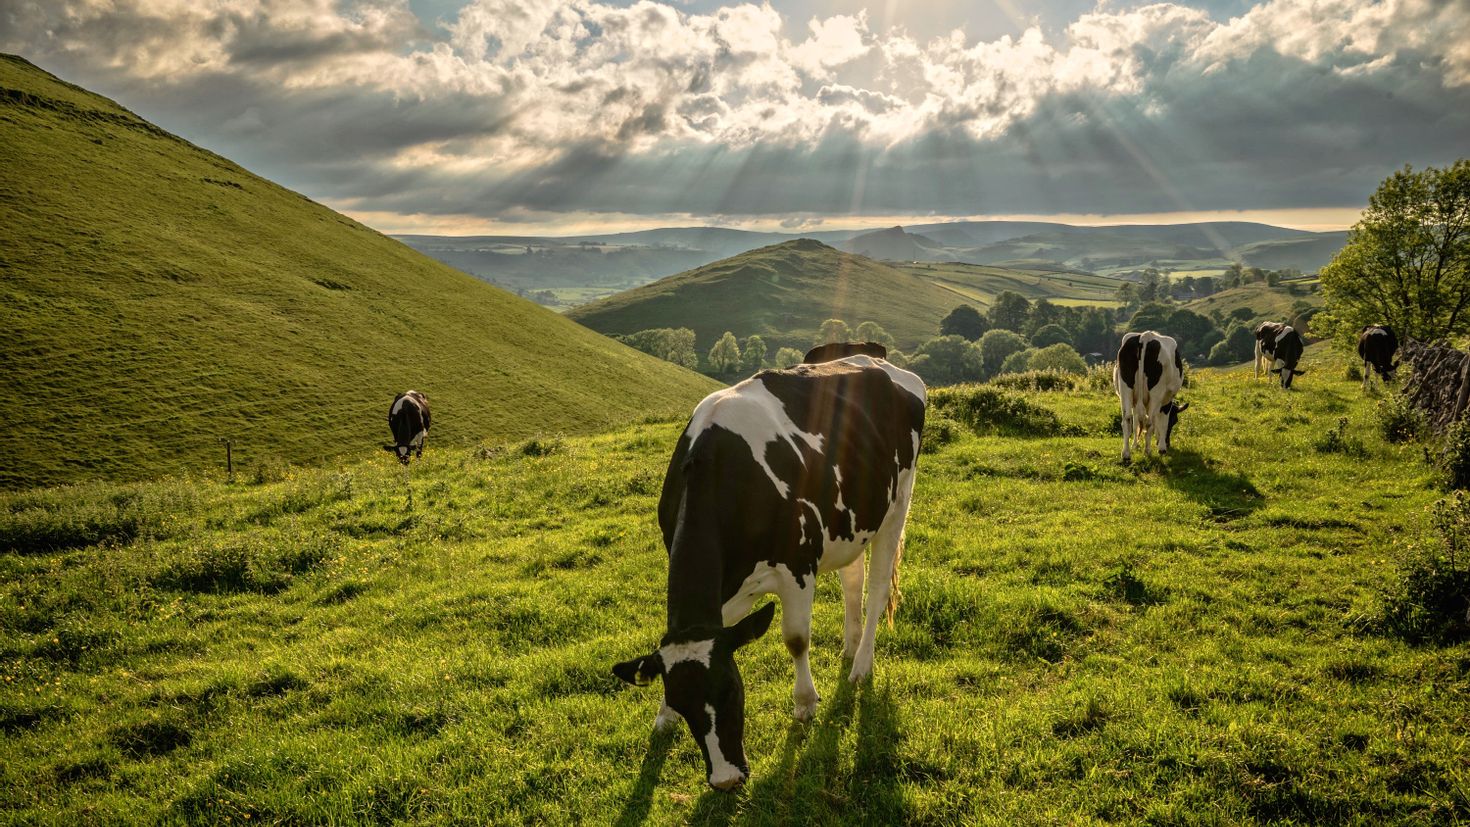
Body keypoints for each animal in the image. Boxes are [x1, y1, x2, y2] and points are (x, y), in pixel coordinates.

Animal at [608, 354, 917, 787]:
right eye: (683, 705)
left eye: (732, 690)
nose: (725, 780)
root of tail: (875, 360)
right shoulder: (727, 591)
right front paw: (663, 716)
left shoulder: (798, 565)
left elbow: (796, 639)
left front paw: (805, 704)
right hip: (851, 522)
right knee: (853, 581)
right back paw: (850, 646)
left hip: (897, 502)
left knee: (876, 590)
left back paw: (861, 666)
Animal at [1117, 330, 1187, 464]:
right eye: (1175, 421)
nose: (1168, 444)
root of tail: (1145, 336)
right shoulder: (1166, 400)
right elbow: (1162, 422)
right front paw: (1162, 448)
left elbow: (1136, 422)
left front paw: (1135, 445)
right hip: (1156, 392)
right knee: (1148, 422)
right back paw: (1147, 451)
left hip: (1125, 388)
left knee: (1127, 419)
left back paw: (1126, 454)